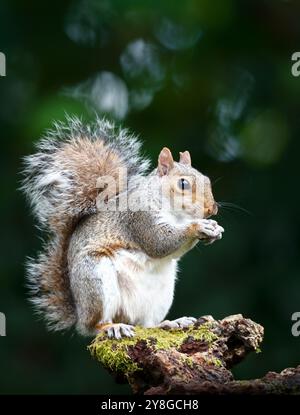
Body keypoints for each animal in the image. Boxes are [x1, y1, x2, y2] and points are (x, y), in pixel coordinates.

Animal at [22, 116, 224, 338]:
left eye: (207, 180)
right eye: (183, 184)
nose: (211, 209)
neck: (177, 215)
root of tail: (79, 312)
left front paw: (214, 228)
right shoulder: (139, 218)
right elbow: (159, 242)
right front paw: (198, 226)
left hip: (161, 296)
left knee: (147, 324)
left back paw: (170, 323)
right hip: (96, 279)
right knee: (94, 325)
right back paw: (112, 326)